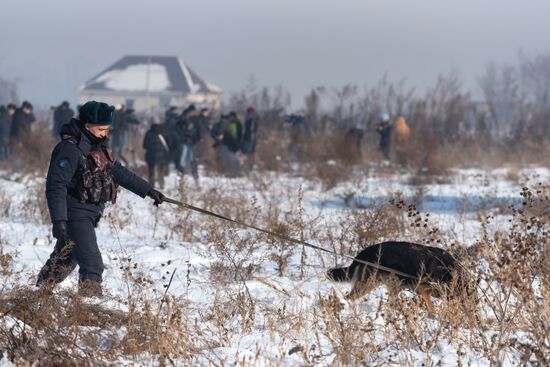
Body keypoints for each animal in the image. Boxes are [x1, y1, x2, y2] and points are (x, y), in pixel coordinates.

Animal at [328, 243, 474, 312]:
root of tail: (361, 255)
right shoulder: (420, 286)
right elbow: (432, 295)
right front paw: (434, 313)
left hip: (393, 284)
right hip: (368, 284)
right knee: (349, 297)